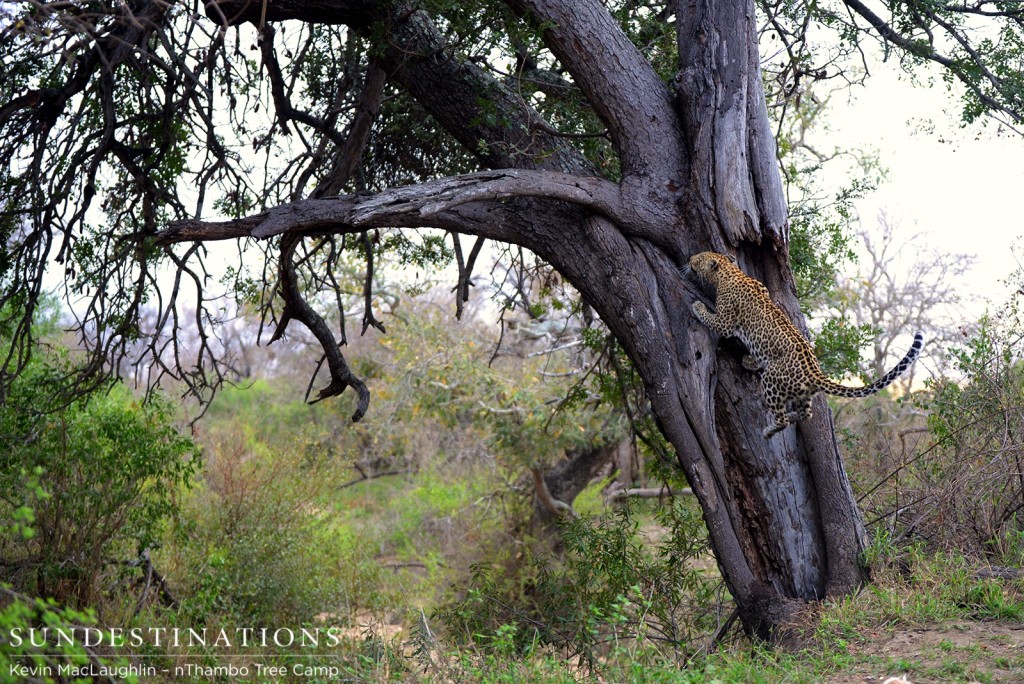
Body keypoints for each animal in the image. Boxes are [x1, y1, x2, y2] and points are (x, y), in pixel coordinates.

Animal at [684, 250, 925, 438]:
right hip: (803, 395)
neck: (729, 272)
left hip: (772, 379)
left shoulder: (726, 320)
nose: (690, 258)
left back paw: (768, 430)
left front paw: (697, 307)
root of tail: (814, 373)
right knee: (805, 414)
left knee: (781, 418)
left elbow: (713, 321)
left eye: (699, 258)